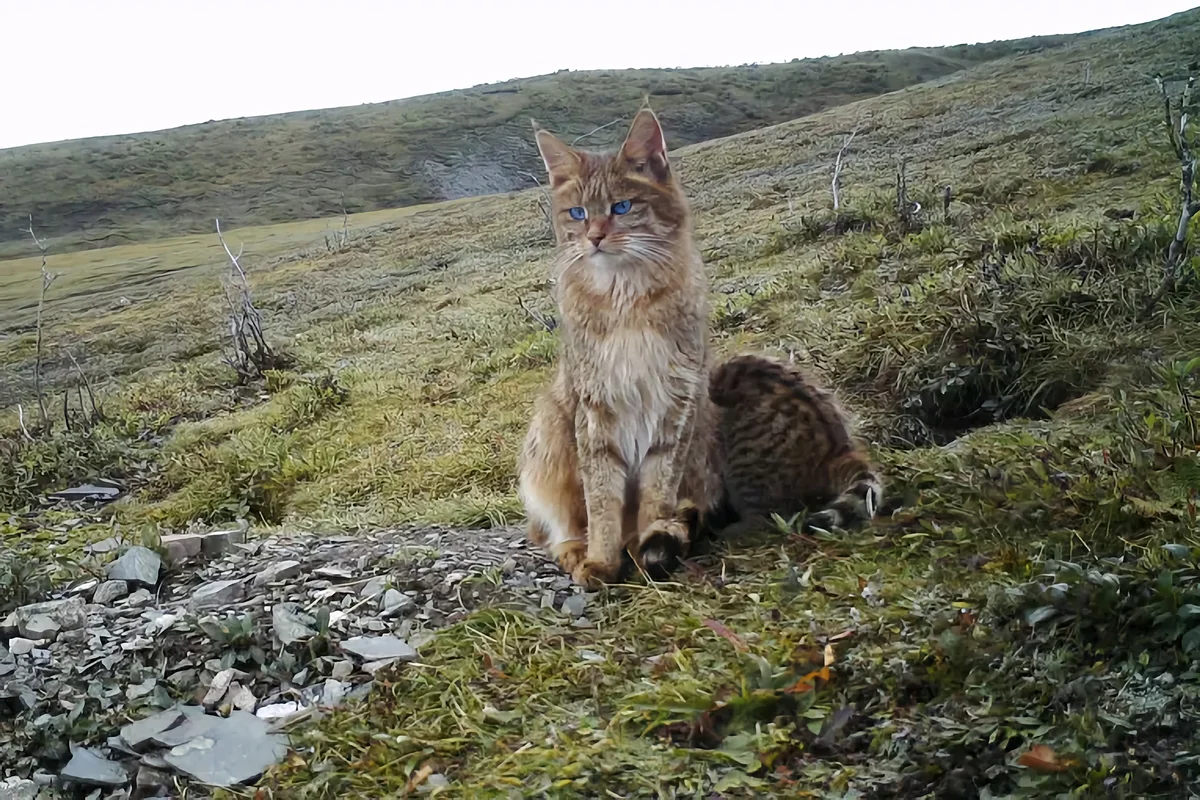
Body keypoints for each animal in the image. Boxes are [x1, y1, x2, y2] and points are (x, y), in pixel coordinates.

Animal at [518, 104, 720, 587]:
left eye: (622, 207)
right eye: (576, 213)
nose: (594, 237)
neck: (626, 299)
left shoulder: (677, 408)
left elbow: (657, 494)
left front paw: (645, 548)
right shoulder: (594, 411)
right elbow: (601, 499)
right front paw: (602, 560)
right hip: (550, 429)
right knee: (554, 524)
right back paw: (574, 549)